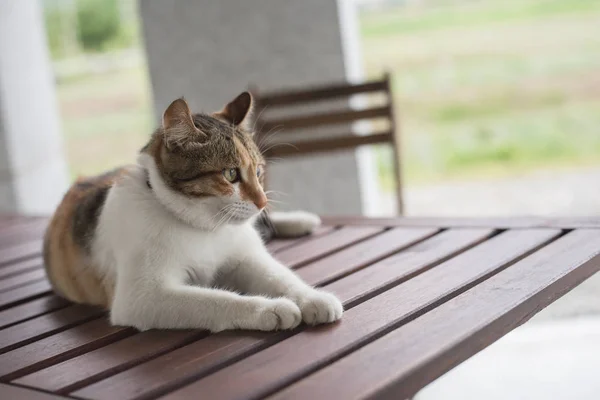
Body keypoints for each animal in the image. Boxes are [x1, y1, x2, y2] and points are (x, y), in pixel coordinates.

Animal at [43, 90, 342, 332]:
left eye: (258, 172)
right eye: (231, 174)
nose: (262, 203)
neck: (203, 227)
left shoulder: (247, 258)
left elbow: (281, 276)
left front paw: (313, 297)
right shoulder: (142, 297)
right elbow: (214, 299)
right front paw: (270, 309)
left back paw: (300, 220)